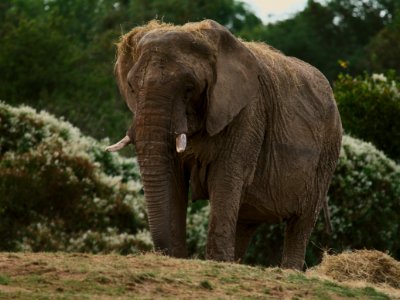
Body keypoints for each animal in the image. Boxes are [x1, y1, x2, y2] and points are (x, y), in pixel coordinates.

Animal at [108, 19, 342, 270]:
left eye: (189, 87)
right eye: (132, 87)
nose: (164, 254)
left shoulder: (248, 113)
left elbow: (224, 177)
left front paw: (216, 263)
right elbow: (173, 179)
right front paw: (182, 259)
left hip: (327, 153)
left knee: (301, 223)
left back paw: (287, 270)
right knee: (244, 220)